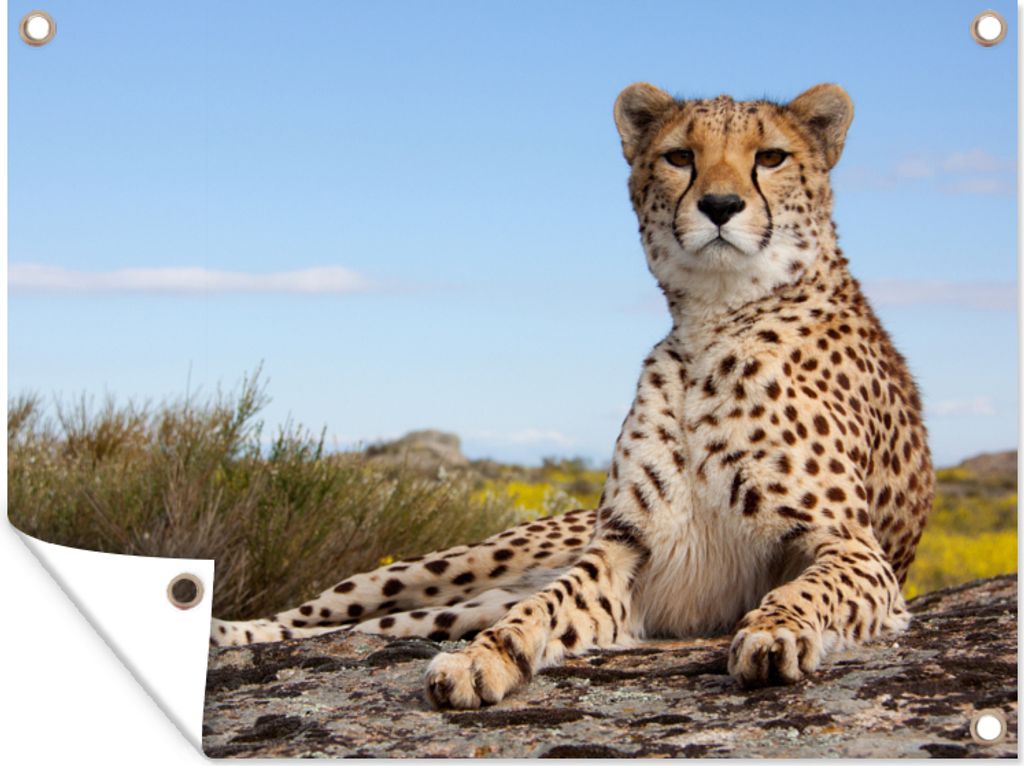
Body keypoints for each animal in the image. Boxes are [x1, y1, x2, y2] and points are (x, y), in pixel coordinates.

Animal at [210, 82, 934, 711]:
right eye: (680, 157)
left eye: (771, 157)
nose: (721, 206)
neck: (714, 321)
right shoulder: (623, 549)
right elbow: (545, 606)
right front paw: (484, 659)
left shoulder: (854, 549)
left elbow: (809, 589)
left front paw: (775, 629)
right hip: (457, 565)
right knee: (334, 609)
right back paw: (227, 630)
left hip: (456, 601)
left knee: (370, 627)